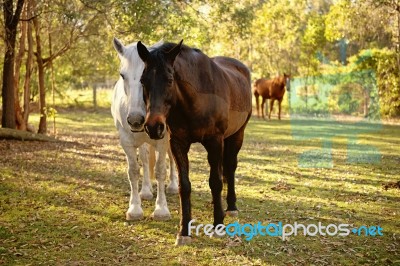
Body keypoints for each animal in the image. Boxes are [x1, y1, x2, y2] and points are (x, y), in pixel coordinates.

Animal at [110, 37, 177, 220]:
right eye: (122, 75)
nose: (135, 120)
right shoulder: (126, 142)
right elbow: (133, 171)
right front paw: (134, 209)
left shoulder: (163, 140)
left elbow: (161, 170)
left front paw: (161, 209)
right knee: (146, 160)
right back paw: (146, 191)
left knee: (171, 159)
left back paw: (174, 186)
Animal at [136, 40, 252, 246]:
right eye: (143, 81)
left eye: (169, 79)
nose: (153, 127)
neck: (195, 100)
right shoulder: (178, 144)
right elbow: (184, 186)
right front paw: (184, 231)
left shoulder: (214, 141)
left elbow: (215, 181)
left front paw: (218, 224)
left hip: (237, 135)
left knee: (230, 167)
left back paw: (231, 207)